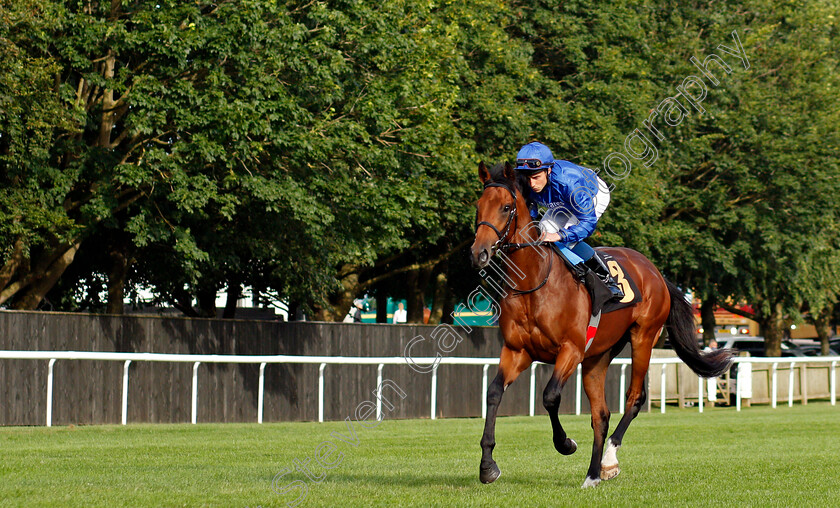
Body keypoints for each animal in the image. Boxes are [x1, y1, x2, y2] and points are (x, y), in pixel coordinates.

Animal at [470, 162, 732, 488]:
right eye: (478, 206)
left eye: (506, 207)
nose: (478, 253)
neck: (534, 283)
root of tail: (655, 272)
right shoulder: (517, 351)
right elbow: (493, 393)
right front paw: (487, 466)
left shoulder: (571, 350)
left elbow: (550, 396)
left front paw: (566, 444)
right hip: (599, 356)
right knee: (601, 414)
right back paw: (593, 474)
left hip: (643, 337)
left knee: (634, 398)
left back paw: (608, 461)